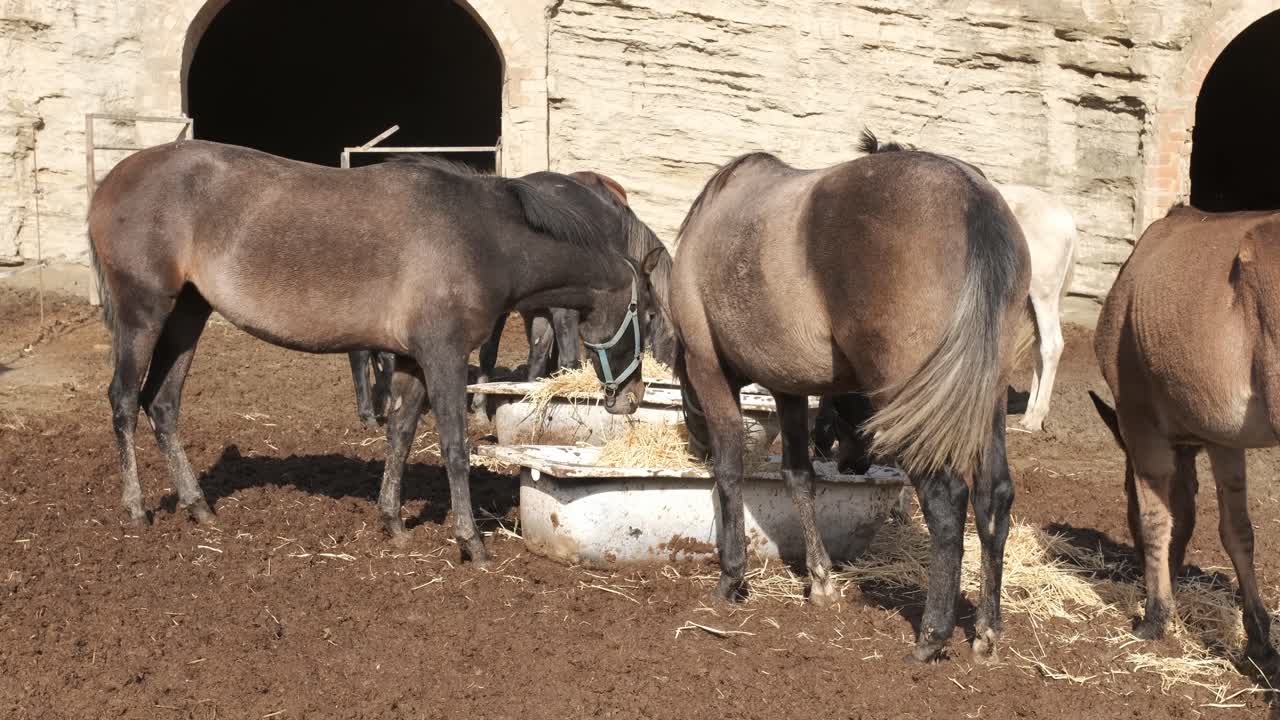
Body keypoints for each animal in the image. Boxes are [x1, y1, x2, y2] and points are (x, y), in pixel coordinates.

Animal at [669, 131, 1031, 663]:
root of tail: (973, 199)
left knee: (946, 501)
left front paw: (731, 578)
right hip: (982, 401)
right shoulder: (789, 388)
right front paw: (820, 582)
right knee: (994, 498)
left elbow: (730, 473)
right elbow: (798, 476)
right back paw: (986, 630)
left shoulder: (708, 366)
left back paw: (931, 636)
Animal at [1090, 205, 1280, 678]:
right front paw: (1259, 639)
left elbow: (1157, 518)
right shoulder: (1223, 441)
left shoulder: (1140, 424)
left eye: (1124, 492)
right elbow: (1237, 531)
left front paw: (1156, 617)